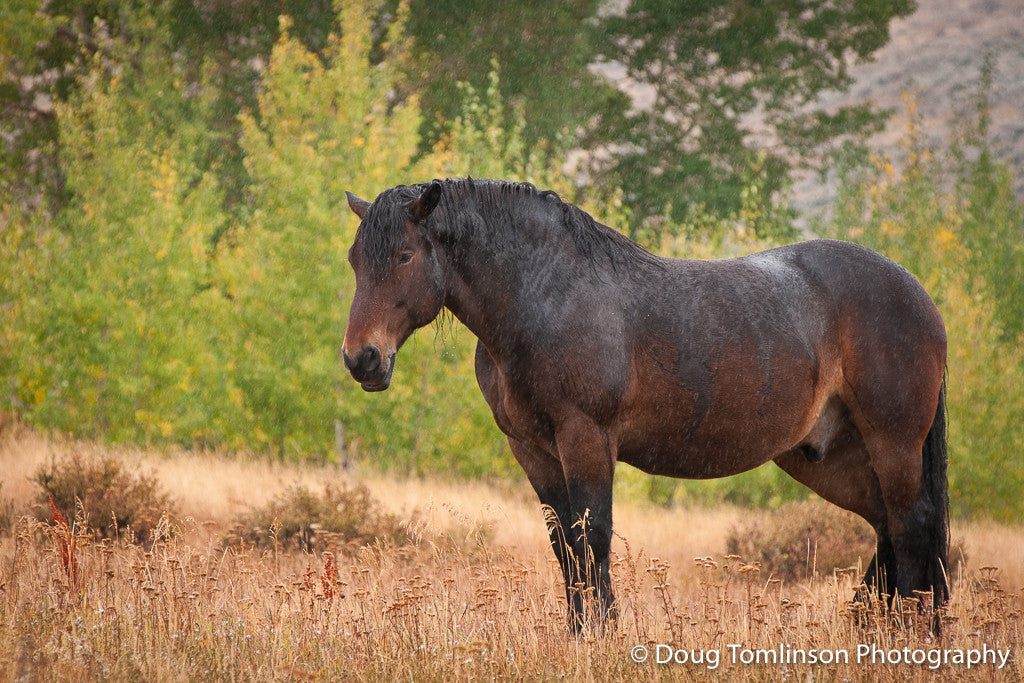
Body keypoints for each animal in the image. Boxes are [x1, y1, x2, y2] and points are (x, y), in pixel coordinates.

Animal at [341, 178, 949, 632]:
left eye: (404, 255)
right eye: (354, 261)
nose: (361, 359)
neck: (546, 298)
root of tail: (918, 295)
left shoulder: (586, 437)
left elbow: (593, 538)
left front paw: (602, 637)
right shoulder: (533, 450)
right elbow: (565, 545)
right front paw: (580, 635)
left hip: (892, 442)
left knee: (912, 525)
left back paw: (913, 633)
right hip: (829, 455)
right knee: (888, 526)